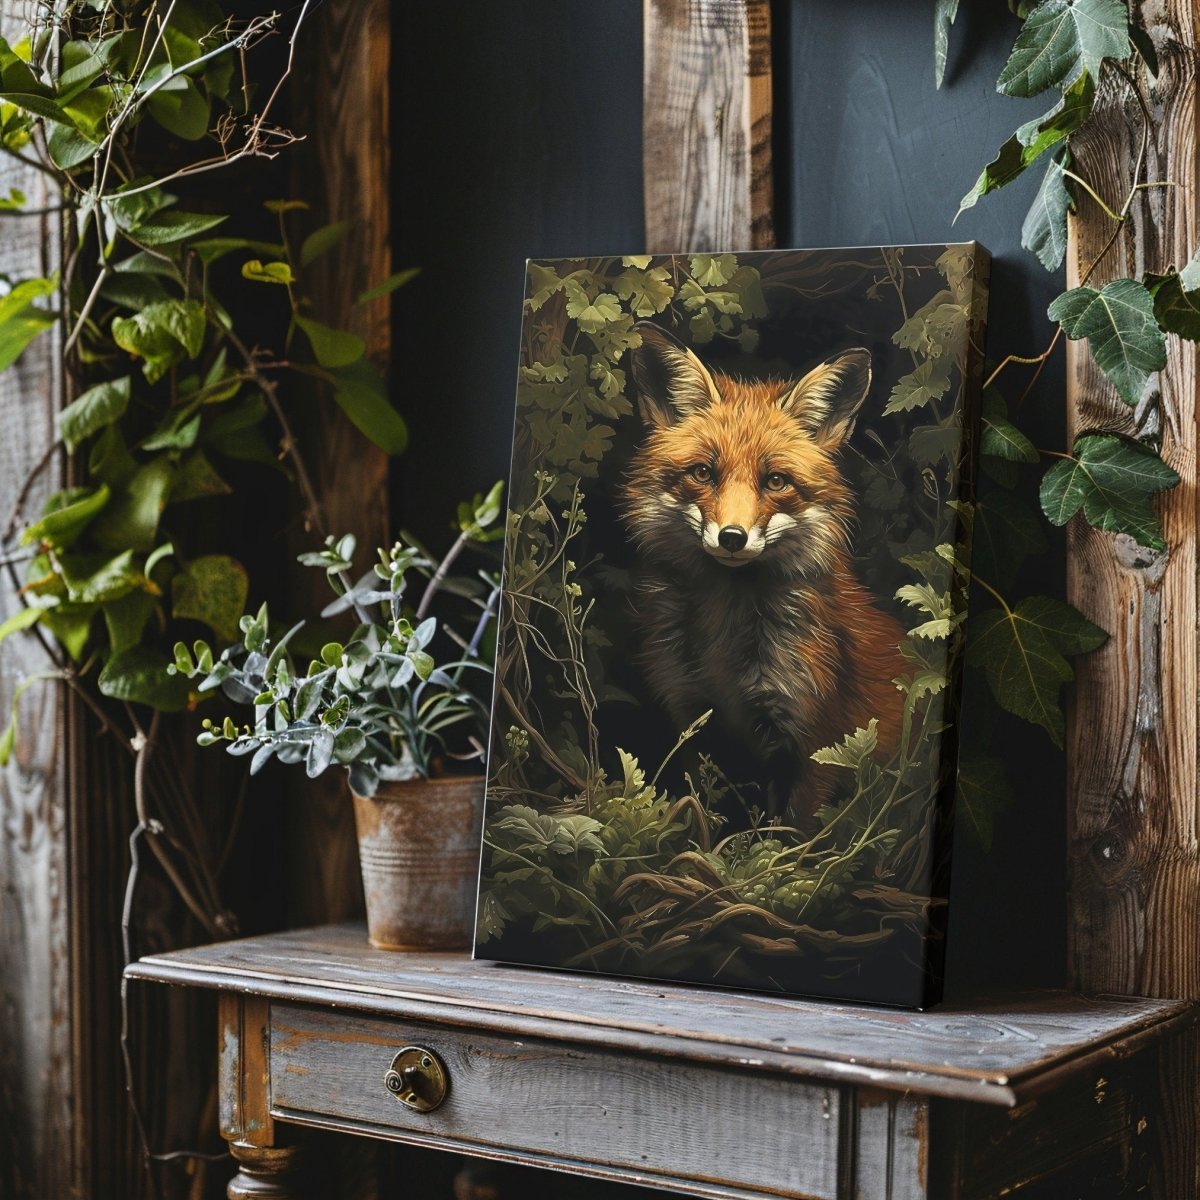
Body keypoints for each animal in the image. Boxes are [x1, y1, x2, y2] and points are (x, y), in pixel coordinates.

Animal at [620, 321, 907, 820]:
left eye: (775, 481)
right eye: (703, 473)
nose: (732, 538)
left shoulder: (815, 743)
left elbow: (790, 834)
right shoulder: (695, 724)